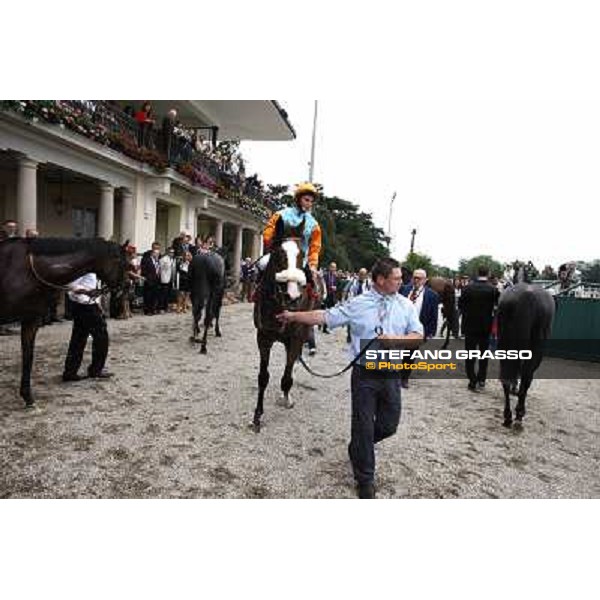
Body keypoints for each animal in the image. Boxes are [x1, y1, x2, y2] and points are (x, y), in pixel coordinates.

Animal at [251, 218, 324, 434]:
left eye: (301, 255)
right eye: (278, 254)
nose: (292, 296)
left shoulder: (296, 337)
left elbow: (287, 374)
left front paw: (286, 397)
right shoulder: (263, 337)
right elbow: (263, 377)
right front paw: (257, 416)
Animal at [494, 284, 556, 428]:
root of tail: (528, 296)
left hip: (504, 345)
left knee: (506, 379)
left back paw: (508, 417)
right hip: (536, 350)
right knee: (526, 378)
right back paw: (518, 415)